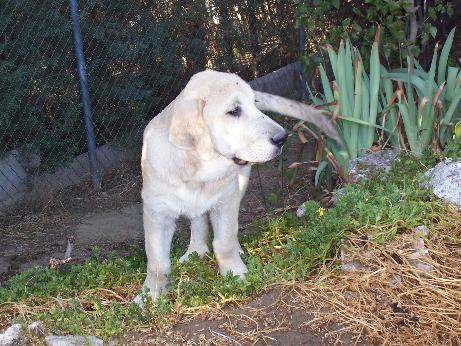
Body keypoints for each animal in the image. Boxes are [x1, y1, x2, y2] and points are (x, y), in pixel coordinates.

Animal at [135, 70, 336, 302]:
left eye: (255, 103)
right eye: (234, 111)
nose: (282, 138)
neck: (198, 172)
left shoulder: (226, 200)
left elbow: (225, 241)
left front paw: (236, 275)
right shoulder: (156, 213)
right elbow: (157, 262)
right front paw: (148, 297)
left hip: (240, 184)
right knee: (198, 220)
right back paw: (196, 251)